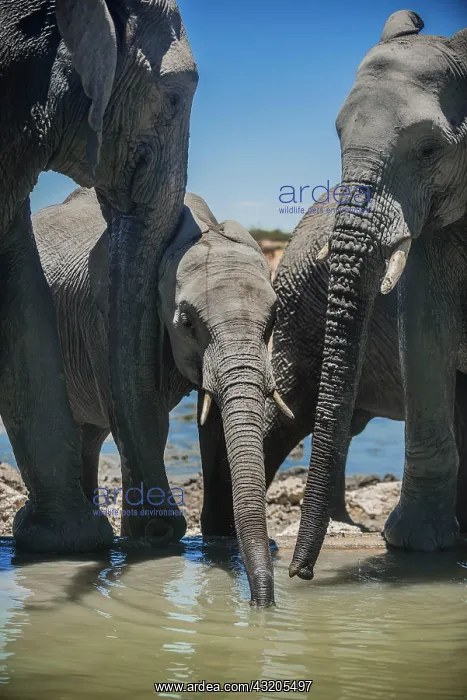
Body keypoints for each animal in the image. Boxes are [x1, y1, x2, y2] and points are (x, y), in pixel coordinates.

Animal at [31, 186, 283, 607]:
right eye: (188, 323)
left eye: (275, 321)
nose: (259, 604)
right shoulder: (108, 317)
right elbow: (147, 414)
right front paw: (151, 540)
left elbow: (213, 424)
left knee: (88, 437)